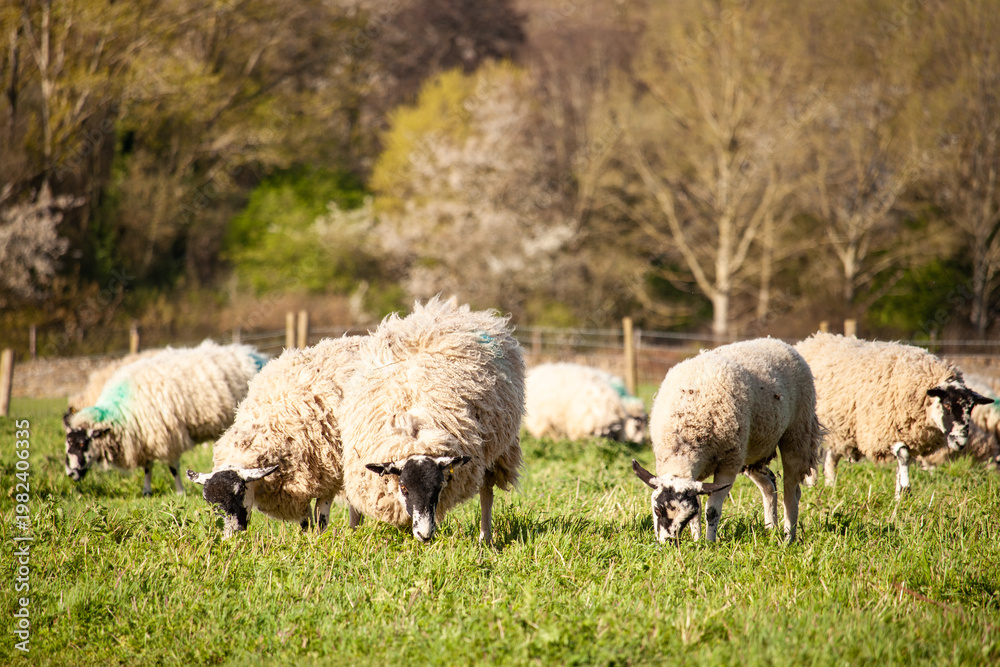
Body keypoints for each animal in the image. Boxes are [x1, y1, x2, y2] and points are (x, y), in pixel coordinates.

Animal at [64, 340, 267, 496]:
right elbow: (147, 467)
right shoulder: (144, 437)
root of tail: (255, 353)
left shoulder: (168, 436)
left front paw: (180, 492)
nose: (70, 474)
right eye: (67, 443)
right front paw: (146, 491)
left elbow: (173, 468)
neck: (122, 412)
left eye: (82, 444)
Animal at [187, 336, 363, 537]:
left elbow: (321, 519)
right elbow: (305, 522)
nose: (230, 537)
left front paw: (318, 539)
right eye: (210, 503)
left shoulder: (328, 476)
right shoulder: (297, 487)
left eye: (239, 492)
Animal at [340, 296, 524, 544]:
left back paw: (485, 539)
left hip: (498, 450)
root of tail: (449, 308)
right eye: (404, 488)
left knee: (486, 492)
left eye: (438, 488)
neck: (414, 432)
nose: (425, 534)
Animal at [632, 338, 821, 544]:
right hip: (751, 450)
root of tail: (777, 341)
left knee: (791, 491)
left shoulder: (727, 466)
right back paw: (771, 528)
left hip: (796, 433)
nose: (668, 543)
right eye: (657, 509)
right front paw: (697, 540)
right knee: (769, 484)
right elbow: (699, 507)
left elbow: (711, 510)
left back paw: (788, 537)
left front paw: (709, 542)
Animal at [794, 333, 993, 498]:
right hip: (811, 426)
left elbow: (902, 463)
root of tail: (813, 339)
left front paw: (899, 496)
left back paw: (830, 487)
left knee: (830, 458)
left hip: (841, 430)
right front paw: (905, 490)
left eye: (971, 409)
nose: (960, 442)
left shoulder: (908, 436)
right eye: (947, 405)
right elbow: (903, 456)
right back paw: (812, 486)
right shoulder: (885, 430)